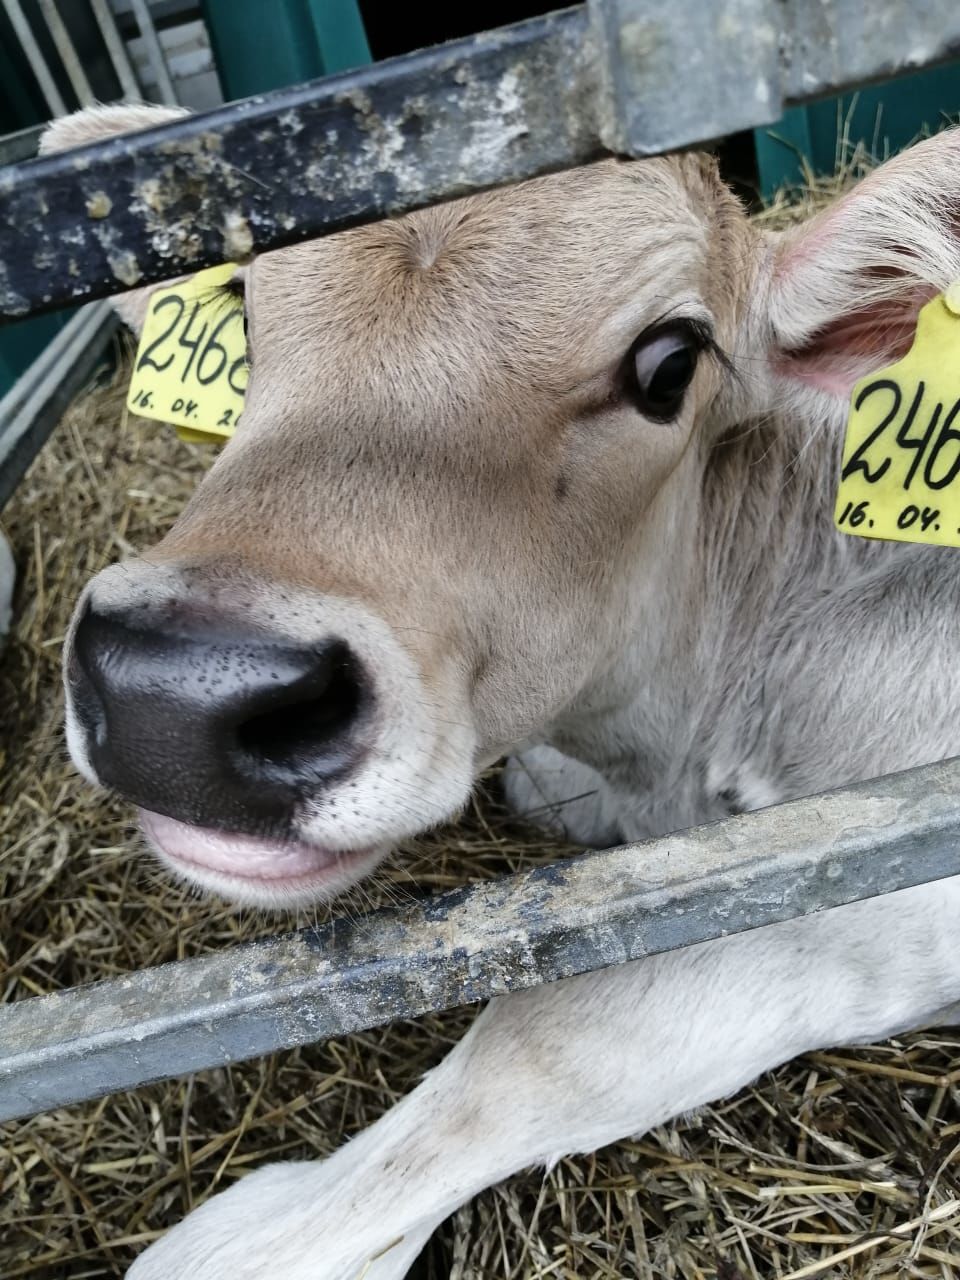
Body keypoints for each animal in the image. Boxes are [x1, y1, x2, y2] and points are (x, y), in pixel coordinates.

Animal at [47, 110, 960, 1280]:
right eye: (244, 316)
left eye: (671, 364)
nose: (175, 694)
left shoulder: (883, 884)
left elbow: (544, 1037)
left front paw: (241, 1241)